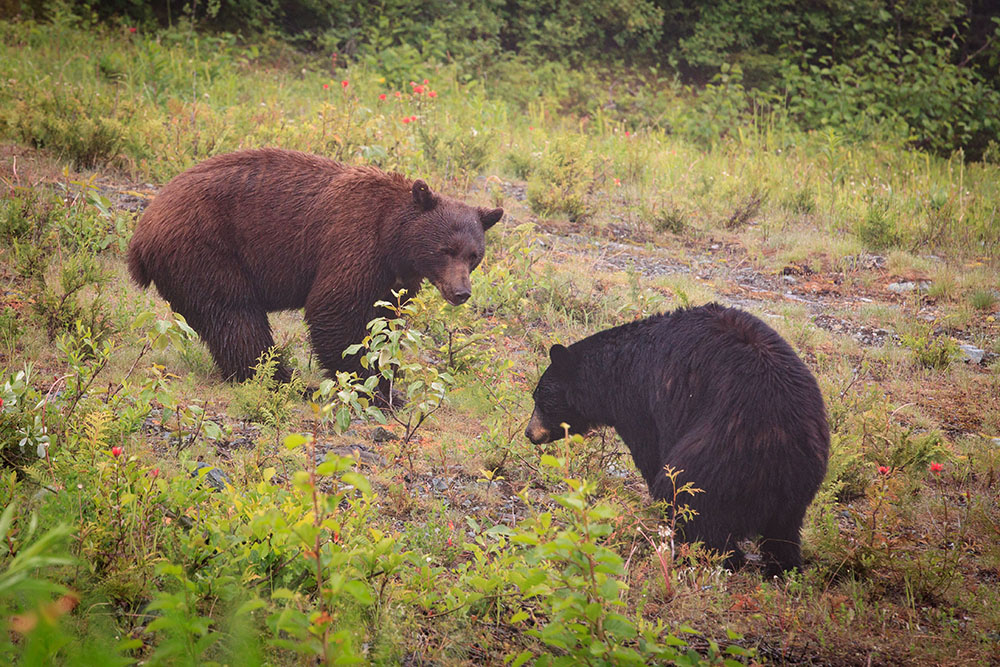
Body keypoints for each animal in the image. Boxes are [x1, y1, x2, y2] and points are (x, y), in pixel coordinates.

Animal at [129, 149, 504, 384]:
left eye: (474, 255)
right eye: (446, 250)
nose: (461, 292)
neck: (394, 239)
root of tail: (142, 230)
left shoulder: (394, 277)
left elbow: (385, 318)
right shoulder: (353, 243)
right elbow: (336, 310)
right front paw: (374, 385)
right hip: (204, 247)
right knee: (234, 315)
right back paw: (277, 377)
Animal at [524, 306, 828, 576]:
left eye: (539, 397)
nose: (529, 433)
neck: (616, 368)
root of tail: (781, 452)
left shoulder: (640, 399)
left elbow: (648, 448)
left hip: (715, 456)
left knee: (692, 503)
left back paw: (705, 554)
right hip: (798, 486)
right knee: (783, 534)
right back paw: (783, 568)